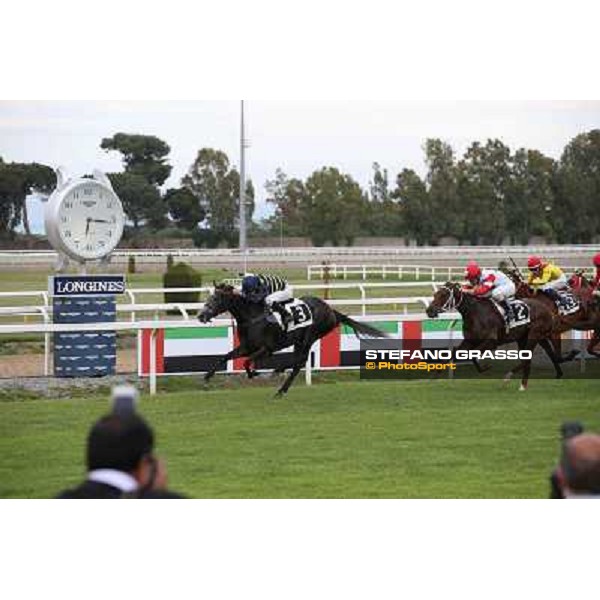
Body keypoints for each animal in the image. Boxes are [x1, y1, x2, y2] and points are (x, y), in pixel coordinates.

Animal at [426, 282, 564, 390]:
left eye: (444, 295)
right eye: (435, 294)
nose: (429, 311)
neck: (475, 313)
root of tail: (548, 310)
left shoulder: (491, 342)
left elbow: (472, 354)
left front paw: (485, 367)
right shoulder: (469, 341)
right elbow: (454, 355)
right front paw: (434, 376)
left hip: (534, 334)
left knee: (527, 358)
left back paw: (511, 378)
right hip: (524, 337)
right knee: (535, 355)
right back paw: (526, 384)